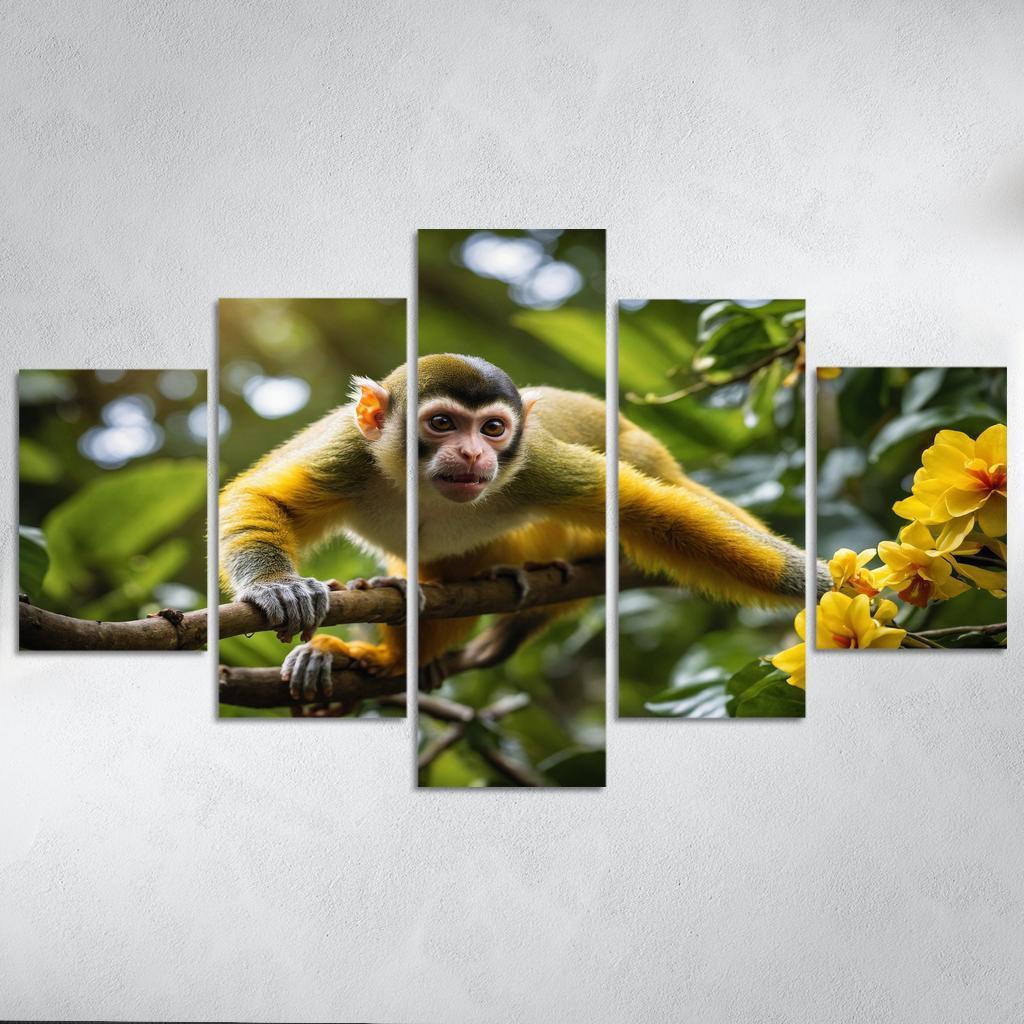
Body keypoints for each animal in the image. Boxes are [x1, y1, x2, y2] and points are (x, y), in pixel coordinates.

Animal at [219, 354, 828, 702]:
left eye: (492, 429)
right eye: (442, 423)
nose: (472, 454)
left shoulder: (530, 461)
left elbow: (653, 514)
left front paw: (818, 586)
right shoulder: (353, 450)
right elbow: (261, 497)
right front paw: (279, 587)